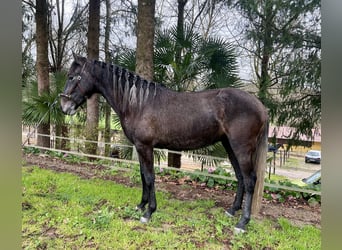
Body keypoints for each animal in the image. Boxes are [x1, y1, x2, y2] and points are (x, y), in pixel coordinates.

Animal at [60, 53, 270, 232]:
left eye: (72, 77)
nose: (64, 107)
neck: (137, 103)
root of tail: (261, 106)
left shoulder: (145, 147)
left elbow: (150, 177)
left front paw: (149, 212)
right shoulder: (140, 147)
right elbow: (143, 175)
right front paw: (141, 205)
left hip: (241, 148)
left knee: (250, 180)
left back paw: (242, 223)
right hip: (229, 146)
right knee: (240, 177)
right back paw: (232, 211)